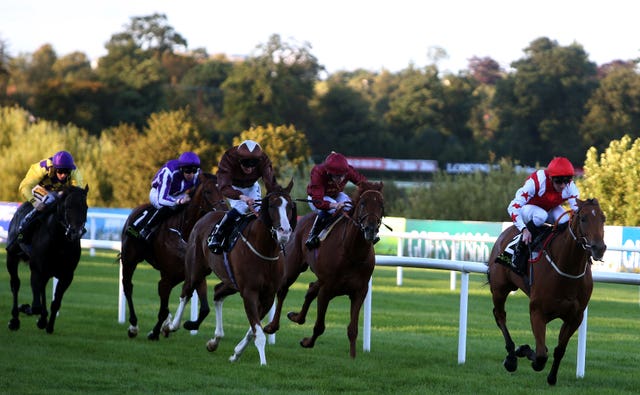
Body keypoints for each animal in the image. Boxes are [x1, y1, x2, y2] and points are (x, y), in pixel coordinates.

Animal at [5, 186, 89, 334]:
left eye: (86, 207)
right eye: (68, 207)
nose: (76, 233)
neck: (60, 242)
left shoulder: (67, 275)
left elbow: (55, 302)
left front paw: (49, 325)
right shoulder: (36, 269)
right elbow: (35, 305)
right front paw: (25, 308)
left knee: (42, 288)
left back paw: (42, 319)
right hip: (12, 256)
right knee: (15, 284)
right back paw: (15, 319)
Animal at [119, 173, 226, 340]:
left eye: (222, 190)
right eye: (208, 192)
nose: (224, 210)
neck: (183, 233)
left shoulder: (196, 274)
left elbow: (204, 309)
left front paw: (174, 326)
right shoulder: (167, 277)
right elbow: (163, 308)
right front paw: (155, 332)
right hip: (130, 259)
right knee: (128, 286)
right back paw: (133, 326)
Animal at [165, 179, 296, 366]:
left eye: (290, 206)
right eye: (272, 205)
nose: (284, 232)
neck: (265, 249)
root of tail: (204, 218)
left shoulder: (268, 295)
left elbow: (253, 330)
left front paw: (236, 353)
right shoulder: (249, 292)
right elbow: (258, 333)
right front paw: (263, 363)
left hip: (231, 282)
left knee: (217, 293)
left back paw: (215, 340)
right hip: (196, 269)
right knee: (186, 292)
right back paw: (170, 325)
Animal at [262, 182, 382, 358]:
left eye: (381, 204)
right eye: (362, 203)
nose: (370, 229)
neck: (352, 252)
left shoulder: (360, 291)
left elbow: (352, 329)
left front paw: (353, 357)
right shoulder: (327, 289)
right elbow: (319, 326)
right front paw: (307, 342)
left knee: (311, 288)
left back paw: (296, 317)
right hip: (292, 268)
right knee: (283, 290)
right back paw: (272, 326)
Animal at [488, 200, 608, 386]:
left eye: (603, 218)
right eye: (583, 218)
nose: (599, 248)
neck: (567, 270)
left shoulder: (575, 317)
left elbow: (559, 350)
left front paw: (552, 377)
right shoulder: (537, 312)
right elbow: (540, 356)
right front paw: (523, 349)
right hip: (500, 288)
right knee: (500, 315)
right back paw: (511, 358)